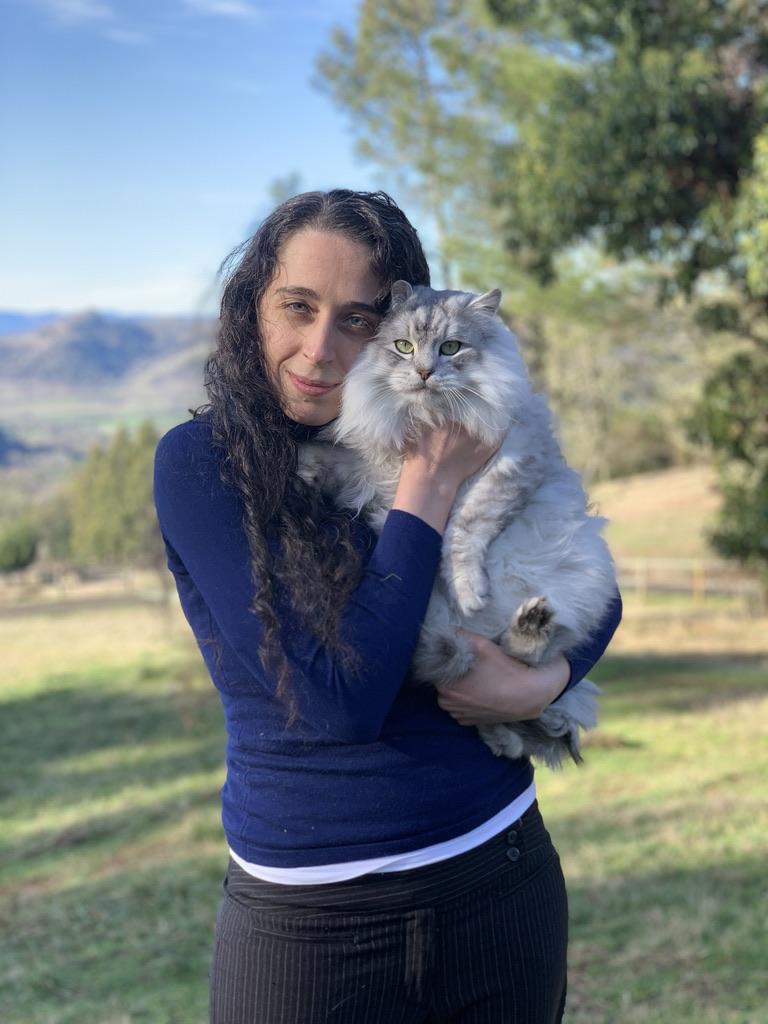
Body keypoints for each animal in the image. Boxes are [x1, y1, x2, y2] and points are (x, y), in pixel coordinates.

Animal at [297, 280, 618, 768]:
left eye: (451, 348)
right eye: (403, 347)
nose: (425, 372)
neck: (428, 419)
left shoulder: (511, 463)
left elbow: (464, 530)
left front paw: (467, 591)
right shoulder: (378, 472)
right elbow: (339, 461)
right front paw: (302, 464)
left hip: (583, 579)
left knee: (530, 664)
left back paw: (529, 627)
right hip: (441, 638)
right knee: (489, 699)